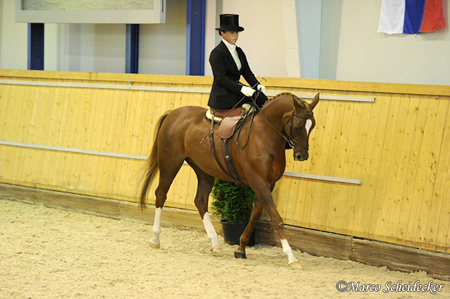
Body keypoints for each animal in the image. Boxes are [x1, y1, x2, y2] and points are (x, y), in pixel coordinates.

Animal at [139, 92, 318, 268]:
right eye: (298, 126)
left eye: (313, 126)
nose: (302, 155)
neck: (264, 134)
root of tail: (173, 114)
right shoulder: (258, 181)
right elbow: (276, 218)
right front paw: (292, 258)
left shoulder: (268, 183)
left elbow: (254, 215)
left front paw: (241, 249)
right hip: (171, 162)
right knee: (161, 194)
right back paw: (155, 239)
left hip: (203, 169)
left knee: (200, 201)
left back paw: (215, 245)